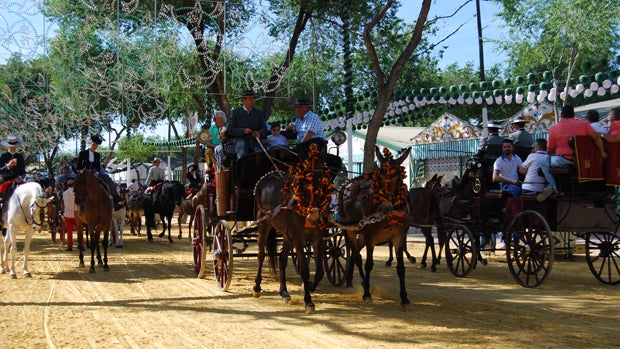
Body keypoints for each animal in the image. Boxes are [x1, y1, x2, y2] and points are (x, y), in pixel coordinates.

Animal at [340, 145, 412, 306]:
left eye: (398, 177)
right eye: (380, 176)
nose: (386, 206)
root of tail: (348, 183)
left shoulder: (399, 237)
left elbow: (401, 268)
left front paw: (404, 297)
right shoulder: (370, 237)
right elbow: (368, 264)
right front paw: (367, 294)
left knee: (354, 253)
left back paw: (351, 281)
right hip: (350, 231)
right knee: (357, 256)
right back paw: (363, 285)